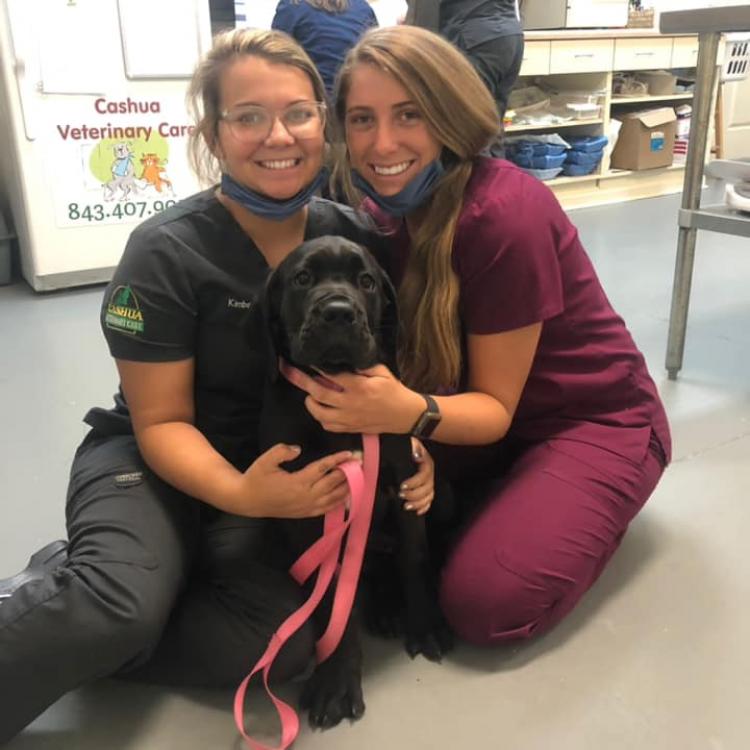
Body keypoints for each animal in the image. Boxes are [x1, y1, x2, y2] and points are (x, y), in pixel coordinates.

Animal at [258, 235, 453, 729]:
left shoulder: (404, 486)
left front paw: (426, 625)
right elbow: (332, 601)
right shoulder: (310, 506)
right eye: (302, 278)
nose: (338, 312)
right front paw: (336, 680)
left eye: (366, 281)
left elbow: (415, 558)